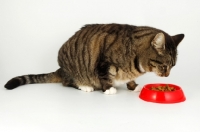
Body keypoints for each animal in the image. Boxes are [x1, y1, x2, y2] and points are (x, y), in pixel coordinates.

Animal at [4, 23, 184, 94]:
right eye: (164, 66)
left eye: (173, 66)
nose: (167, 75)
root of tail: (60, 69)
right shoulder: (103, 62)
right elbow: (104, 76)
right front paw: (109, 88)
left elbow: (130, 79)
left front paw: (133, 85)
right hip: (72, 66)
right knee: (68, 82)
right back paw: (84, 86)